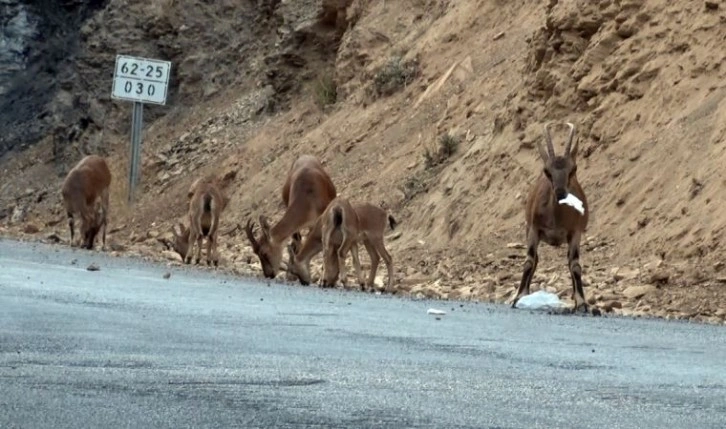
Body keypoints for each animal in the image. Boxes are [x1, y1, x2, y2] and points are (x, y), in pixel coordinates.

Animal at [512, 120, 592, 310]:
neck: (557, 218)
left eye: (573, 169)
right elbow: (529, 261)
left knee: (570, 261)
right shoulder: (534, 229)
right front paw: (519, 297)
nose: (561, 192)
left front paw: (582, 302)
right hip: (528, 229)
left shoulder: (576, 232)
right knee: (536, 259)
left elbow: (575, 265)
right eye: (547, 170)